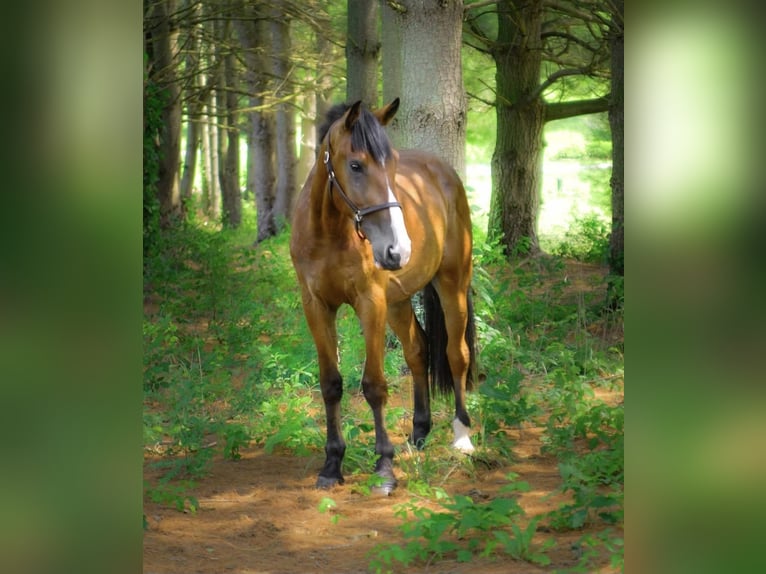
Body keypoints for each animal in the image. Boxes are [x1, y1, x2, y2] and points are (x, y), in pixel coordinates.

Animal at [289, 98, 477, 494]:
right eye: (355, 165)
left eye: (391, 166)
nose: (397, 249)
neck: (329, 233)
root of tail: (444, 172)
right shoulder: (316, 307)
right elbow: (331, 384)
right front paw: (332, 464)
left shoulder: (369, 303)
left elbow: (374, 385)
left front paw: (384, 467)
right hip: (399, 301)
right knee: (418, 351)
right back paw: (419, 433)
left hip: (451, 284)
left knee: (456, 355)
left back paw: (461, 436)